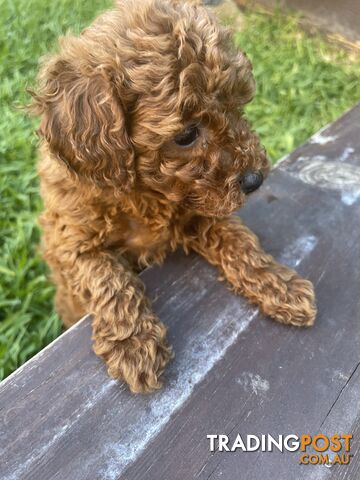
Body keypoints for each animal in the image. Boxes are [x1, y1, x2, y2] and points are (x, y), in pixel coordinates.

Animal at [32, 0, 316, 394]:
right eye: (185, 135)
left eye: (238, 106)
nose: (255, 179)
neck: (143, 193)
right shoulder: (70, 241)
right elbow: (107, 278)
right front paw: (134, 343)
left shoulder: (200, 210)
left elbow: (240, 241)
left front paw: (279, 283)